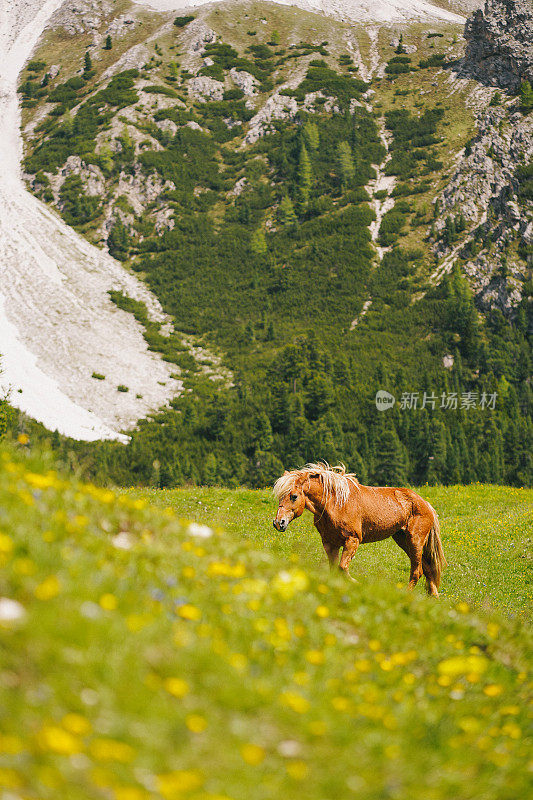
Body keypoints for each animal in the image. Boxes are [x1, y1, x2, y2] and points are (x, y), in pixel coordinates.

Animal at [274, 462, 444, 592]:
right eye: (280, 496)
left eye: (294, 496)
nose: (278, 523)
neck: (336, 502)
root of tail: (426, 504)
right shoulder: (330, 543)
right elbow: (334, 569)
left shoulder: (352, 540)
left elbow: (342, 567)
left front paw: (358, 584)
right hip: (403, 540)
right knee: (427, 569)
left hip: (415, 541)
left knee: (417, 571)